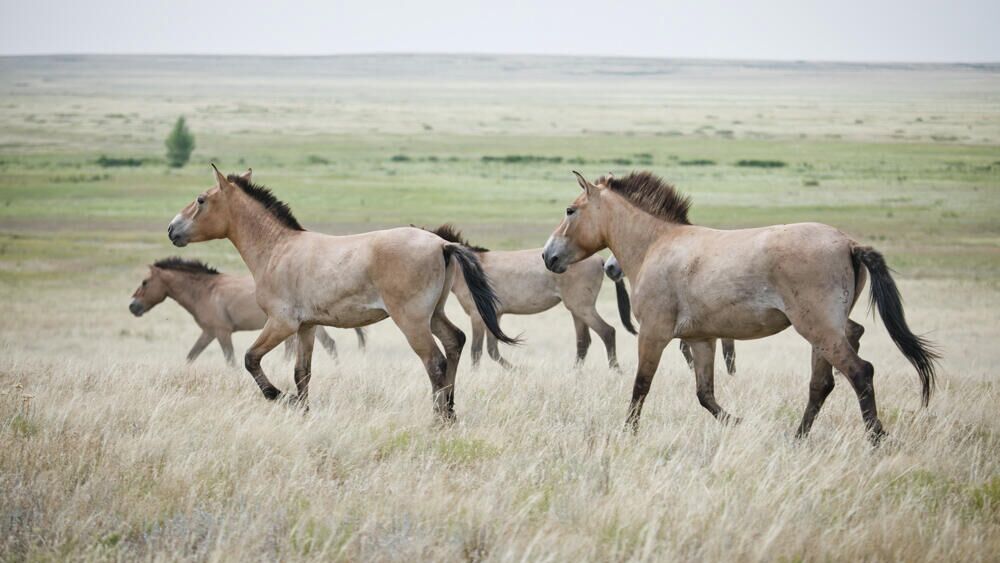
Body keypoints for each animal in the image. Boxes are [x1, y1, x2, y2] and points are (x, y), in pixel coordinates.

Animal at [130, 256, 368, 364]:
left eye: (144, 282)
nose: (133, 306)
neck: (205, 291)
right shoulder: (208, 332)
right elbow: (191, 356)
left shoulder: (221, 332)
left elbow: (230, 360)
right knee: (326, 345)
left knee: (324, 345)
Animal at [166, 165, 516, 420]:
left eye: (200, 199)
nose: (172, 229)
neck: (278, 249)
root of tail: (442, 244)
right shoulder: (306, 327)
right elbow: (302, 373)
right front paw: (303, 410)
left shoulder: (281, 324)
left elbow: (251, 359)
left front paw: (280, 398)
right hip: (434, 314)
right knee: (455, 342)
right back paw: (451, 412)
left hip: (412, 320)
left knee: (435, 362)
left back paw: (438, 419)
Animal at [430, 225, 624, 370]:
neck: (468, 268)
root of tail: (600, 261)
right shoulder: (495, 315)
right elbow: (493, 351)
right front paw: (518, 371)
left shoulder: (477, 316)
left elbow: (476, 351)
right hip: (577, 310)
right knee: (583, 342)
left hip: (582, 308)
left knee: (607, 332)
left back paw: (615, 371)